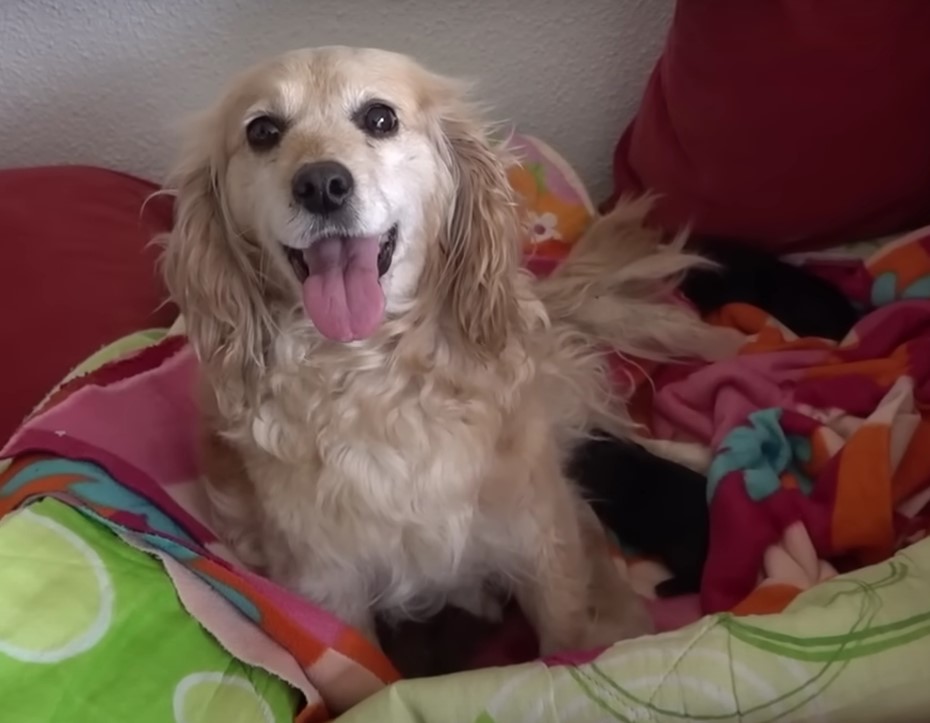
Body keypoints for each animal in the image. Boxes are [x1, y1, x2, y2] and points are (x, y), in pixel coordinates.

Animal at [160, 45, 740, 656]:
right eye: (263, 131)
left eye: (380, 118)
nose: (320, 185)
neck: (372, 378)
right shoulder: (328, 586)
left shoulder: (539, 541)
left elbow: (564, 637)